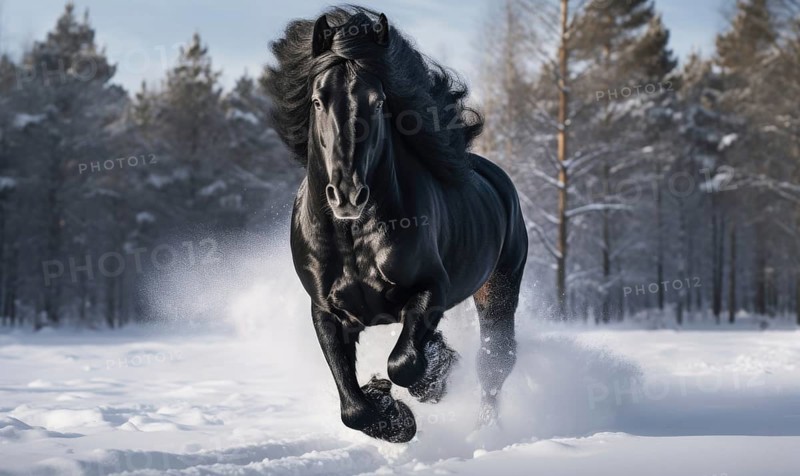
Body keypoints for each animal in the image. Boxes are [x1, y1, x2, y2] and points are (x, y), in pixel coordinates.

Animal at [265, 6, 528, 443]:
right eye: (318, 100)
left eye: (377, 101)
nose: (348, 194)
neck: (353, 237)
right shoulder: (326, 312)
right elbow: (352, 408)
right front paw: (391, 414)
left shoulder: (431, 288)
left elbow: (403, 363)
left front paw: (432, 380)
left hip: (499, 291)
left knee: (494, 367)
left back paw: (484, 432)